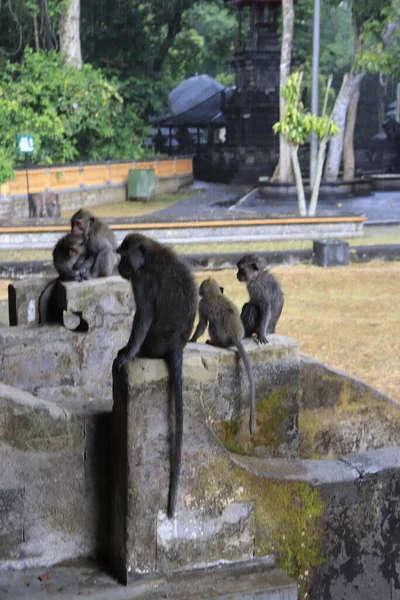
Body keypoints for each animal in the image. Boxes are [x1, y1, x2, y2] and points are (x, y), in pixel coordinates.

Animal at [113, 232, 198, 516]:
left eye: (124, 256)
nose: (118, 266)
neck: (150, 256)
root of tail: (176, 343)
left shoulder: (143, 281)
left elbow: (144, 315)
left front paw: (126, 354)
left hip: (153, 343)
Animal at [189, 276, 255, 436]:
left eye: (201, 288)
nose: (199, 290)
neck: (215, 295)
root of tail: (235, 336)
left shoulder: (202, 305)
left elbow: (202, 325)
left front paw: (192, 339)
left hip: (220, 336)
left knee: (212, 325)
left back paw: (214, 343)